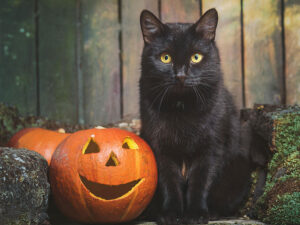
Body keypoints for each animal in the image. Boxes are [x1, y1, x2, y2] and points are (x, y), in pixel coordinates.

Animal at [139, 7, 252, 224]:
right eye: (165, 58)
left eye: (196, 57)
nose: (181, 75)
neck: (181, 107)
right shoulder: (159, 147)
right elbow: (169, 182)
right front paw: (171, 214)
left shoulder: (211, 148)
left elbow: (200, 182)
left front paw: (196, 214)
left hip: (241, 168)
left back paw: (213, 212)